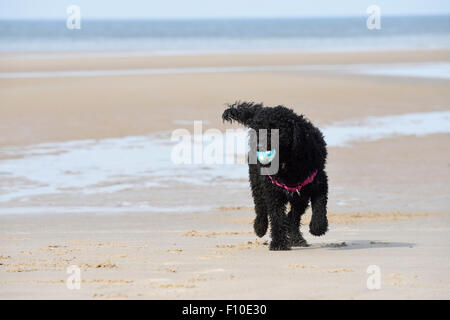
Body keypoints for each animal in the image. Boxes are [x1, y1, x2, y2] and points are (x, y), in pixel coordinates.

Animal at [223, 102, 328, 250]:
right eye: (257, 129)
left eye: (275, 129)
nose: (258, 144)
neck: (288, 164)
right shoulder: (273, 192)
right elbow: (277, 217)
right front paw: (278, 243)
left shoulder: (318, 183)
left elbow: (319, 206)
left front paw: (318, 227)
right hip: (257, 184)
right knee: (260, 207)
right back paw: (260, 227)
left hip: (300, 196)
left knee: (293, 216)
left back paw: (296, 238)